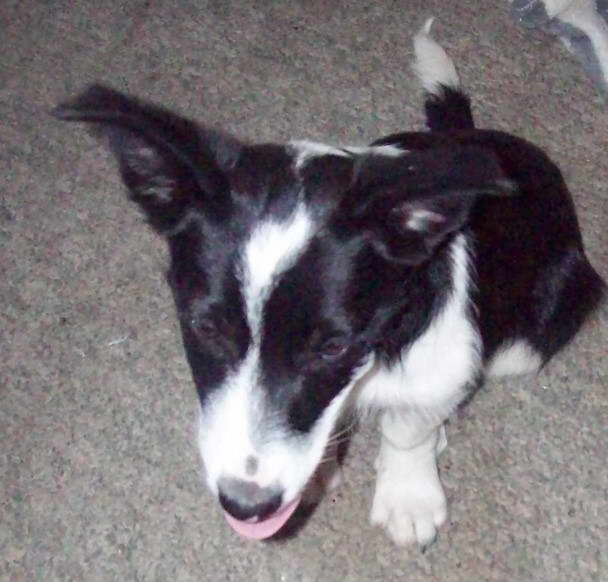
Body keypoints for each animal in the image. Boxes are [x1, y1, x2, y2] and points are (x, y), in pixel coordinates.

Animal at [52, 22, 604, 548]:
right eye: (204, 328)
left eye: (333, 347)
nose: (246, 507)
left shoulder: (444, 360)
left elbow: (408, 429)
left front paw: (408, 495)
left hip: (528, 341)